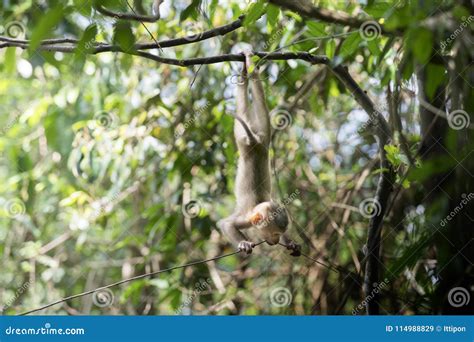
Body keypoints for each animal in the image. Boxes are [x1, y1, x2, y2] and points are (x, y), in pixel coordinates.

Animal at [218, 49, 300, 255]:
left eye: (280, 234)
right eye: (274, 234)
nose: (276, 240)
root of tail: (253, 140)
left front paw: (291, 243)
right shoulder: (246, 219)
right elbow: (226, 224)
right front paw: (243, 243)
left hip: (263, 135)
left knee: (257, 95)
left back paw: (247, 70)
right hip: (243, 137)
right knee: (242, 108)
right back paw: (246, 71)